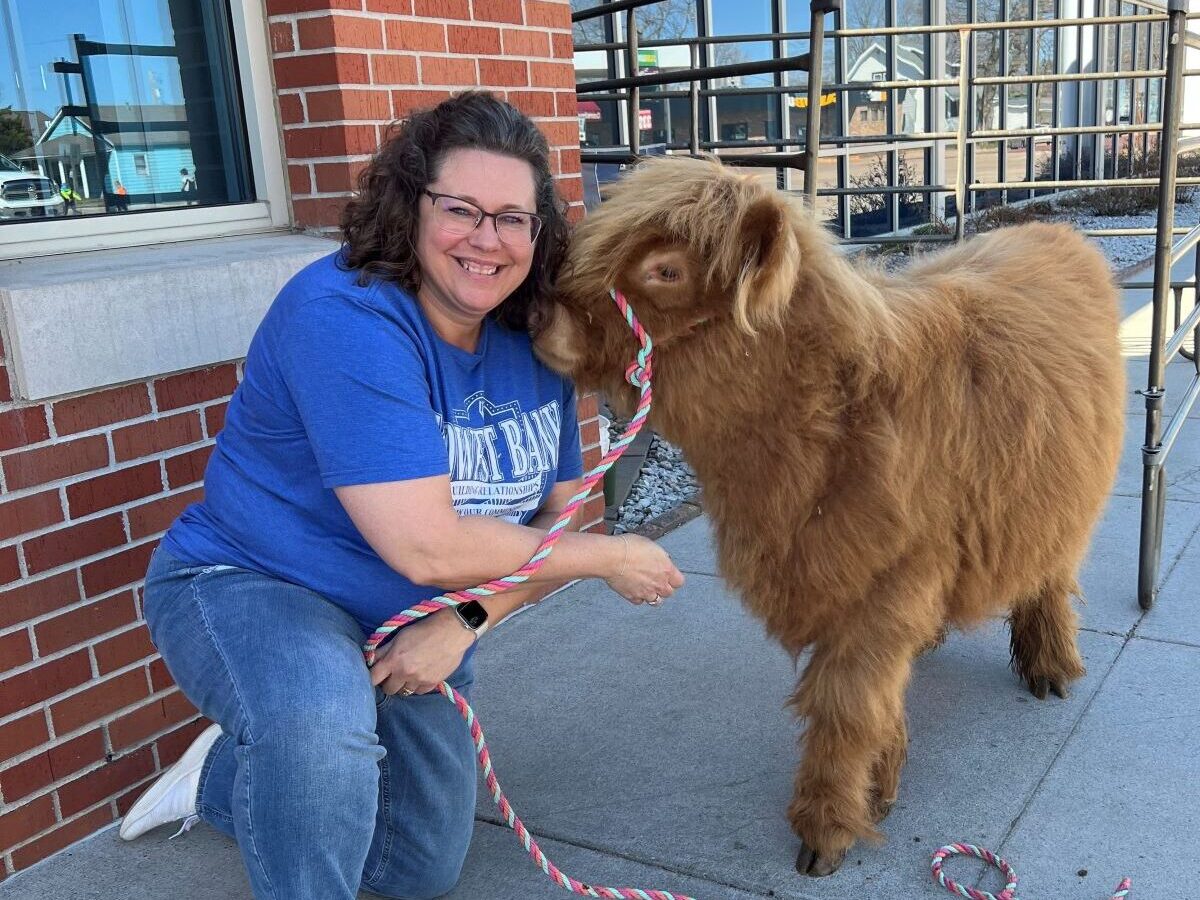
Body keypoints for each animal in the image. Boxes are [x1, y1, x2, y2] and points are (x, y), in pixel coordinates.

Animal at [535, 157, 1123, 883]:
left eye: (665, 270)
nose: (538, 312)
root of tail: (1049, 231)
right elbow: (865, 697)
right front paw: (876, 782)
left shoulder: (890, 583)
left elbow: (848, 705)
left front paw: (831, 824)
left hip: (1065, 508)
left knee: (1050, 578)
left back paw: (1050, 669)